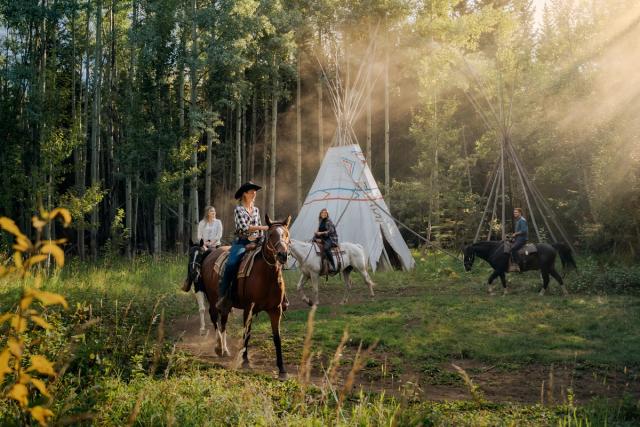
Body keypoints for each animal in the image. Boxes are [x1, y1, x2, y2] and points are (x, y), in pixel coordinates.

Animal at [200, 216, 292, 380]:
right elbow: (247, 333)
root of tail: (211, 253)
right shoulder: (248, 308)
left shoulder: (276, 310)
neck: (266, 276)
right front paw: (245, 361)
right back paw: (219, 348)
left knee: (223, 321)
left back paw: (225, 349)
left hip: (227, 303)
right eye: (271, 235)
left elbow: (277, 338)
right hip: (213, 298)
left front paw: (282, 370)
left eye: (286, 234)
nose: (283, 255)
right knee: (214, 318)